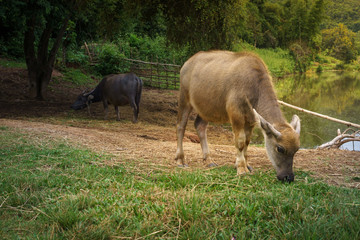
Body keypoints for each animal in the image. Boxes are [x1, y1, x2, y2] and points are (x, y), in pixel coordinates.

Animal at [175, 50, 300, 182]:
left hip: (206, 109)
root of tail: (187, 63)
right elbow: (240, 142)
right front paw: (241, 168)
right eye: (280, 148)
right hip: (184, 99)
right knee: (180, 126)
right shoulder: (236, 115)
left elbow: (247, 141)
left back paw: (208, 160)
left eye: (297, 149)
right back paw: (180, 160)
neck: (254, 86)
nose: (288, 177)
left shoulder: (250, 120)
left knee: (200, 126)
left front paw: (246, 165)